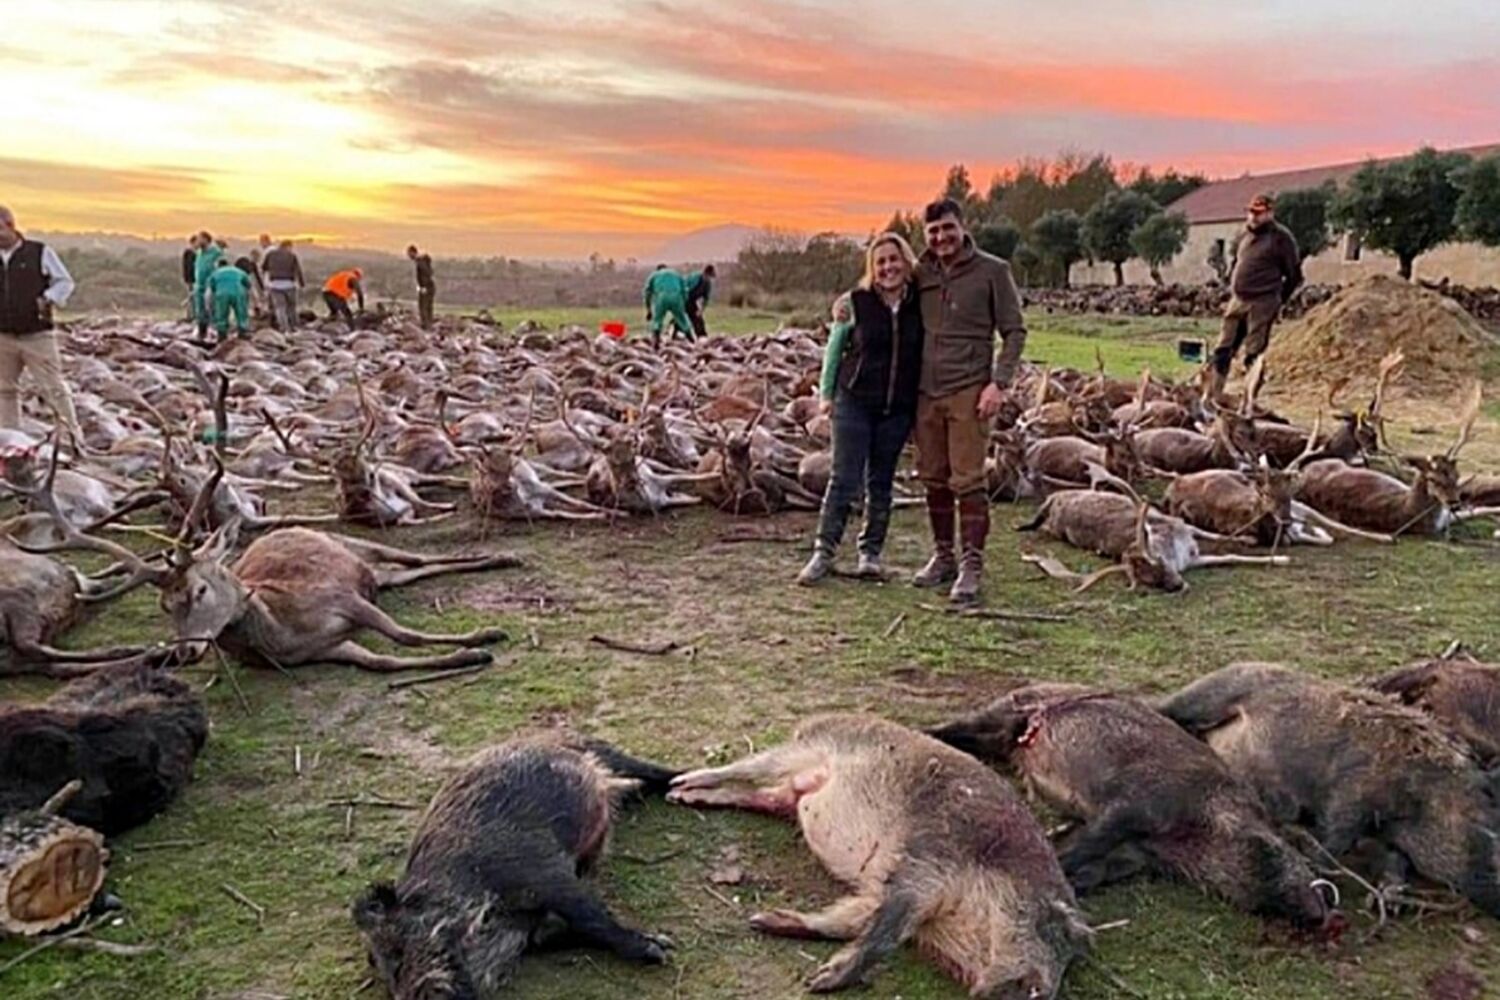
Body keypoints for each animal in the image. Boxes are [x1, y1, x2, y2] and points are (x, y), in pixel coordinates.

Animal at [352, 736, 679, 999]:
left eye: (398, 956)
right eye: (386, 978)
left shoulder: (544, 870)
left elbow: (591, 916)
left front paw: (661, 948)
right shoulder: (535, 927)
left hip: (596, 748)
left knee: (649, 770)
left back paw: (681, 782)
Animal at [668, 714, 1090, 998]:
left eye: (1068, 962)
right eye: (1054, 929)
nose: (1040, 991)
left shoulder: (882, 894)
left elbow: (849, 922)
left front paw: (763, 922)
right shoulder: (926, 864)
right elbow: (883, 935)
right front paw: (818, 984)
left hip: (788, 795)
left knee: (762, 795)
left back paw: (684, 797)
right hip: (806, 747)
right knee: (747, 766)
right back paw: (681, 783)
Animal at [928, 684, 1338, 932]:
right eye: (1292, 847)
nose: (1325, 908)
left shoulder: (1132, 857)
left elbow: (1091, 870)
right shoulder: (1133, 804)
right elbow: (1083, 845)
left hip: (1003, 736)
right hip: (1005, 710)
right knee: (953, 727)